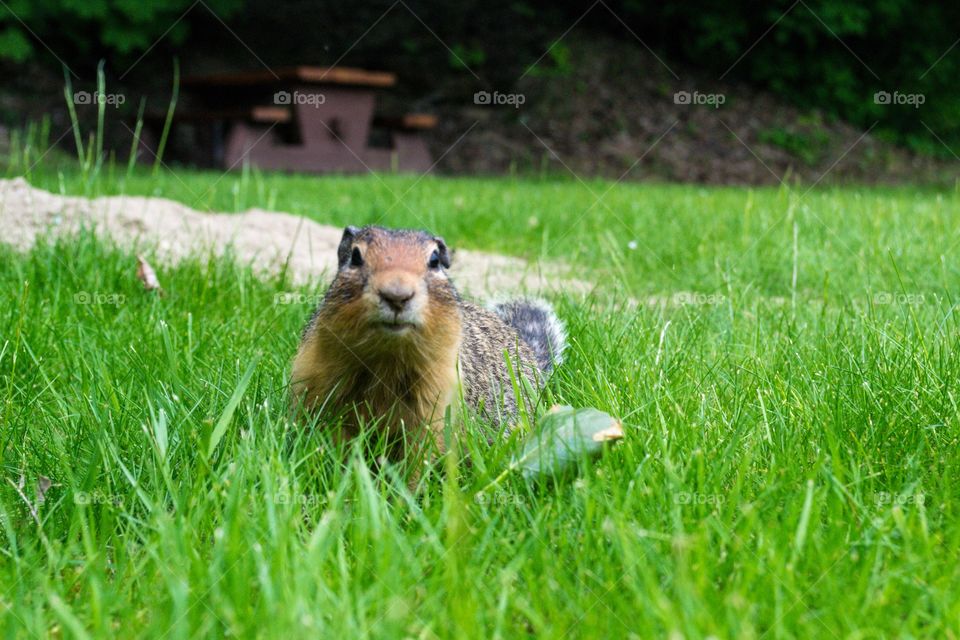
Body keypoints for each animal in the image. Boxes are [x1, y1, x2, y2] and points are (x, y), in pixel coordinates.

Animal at [288, 225, 568, 460]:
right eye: (356, 256)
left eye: (434, 260)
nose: (397, 295)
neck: (386, 357)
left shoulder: (437, 403)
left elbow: (420, 458)